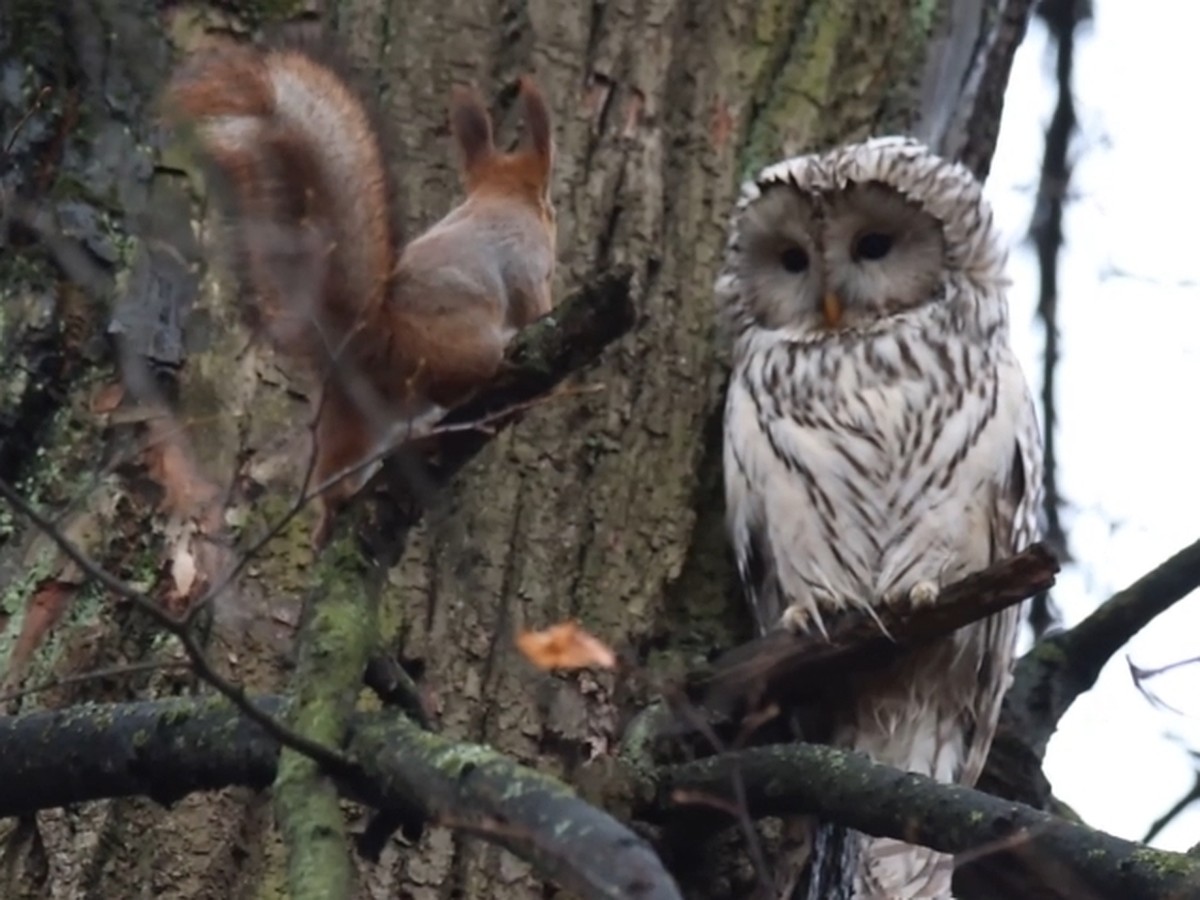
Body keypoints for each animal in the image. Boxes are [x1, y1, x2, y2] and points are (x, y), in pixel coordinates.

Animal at [168, 38, 556, 547]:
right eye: (551, 208)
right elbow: (535, 306)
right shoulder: (527, 267)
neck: (500, 198)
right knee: (461, 383)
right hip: (461, 350)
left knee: (332, 474)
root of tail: (370, 336)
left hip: (353, 417)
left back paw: (330, 516)